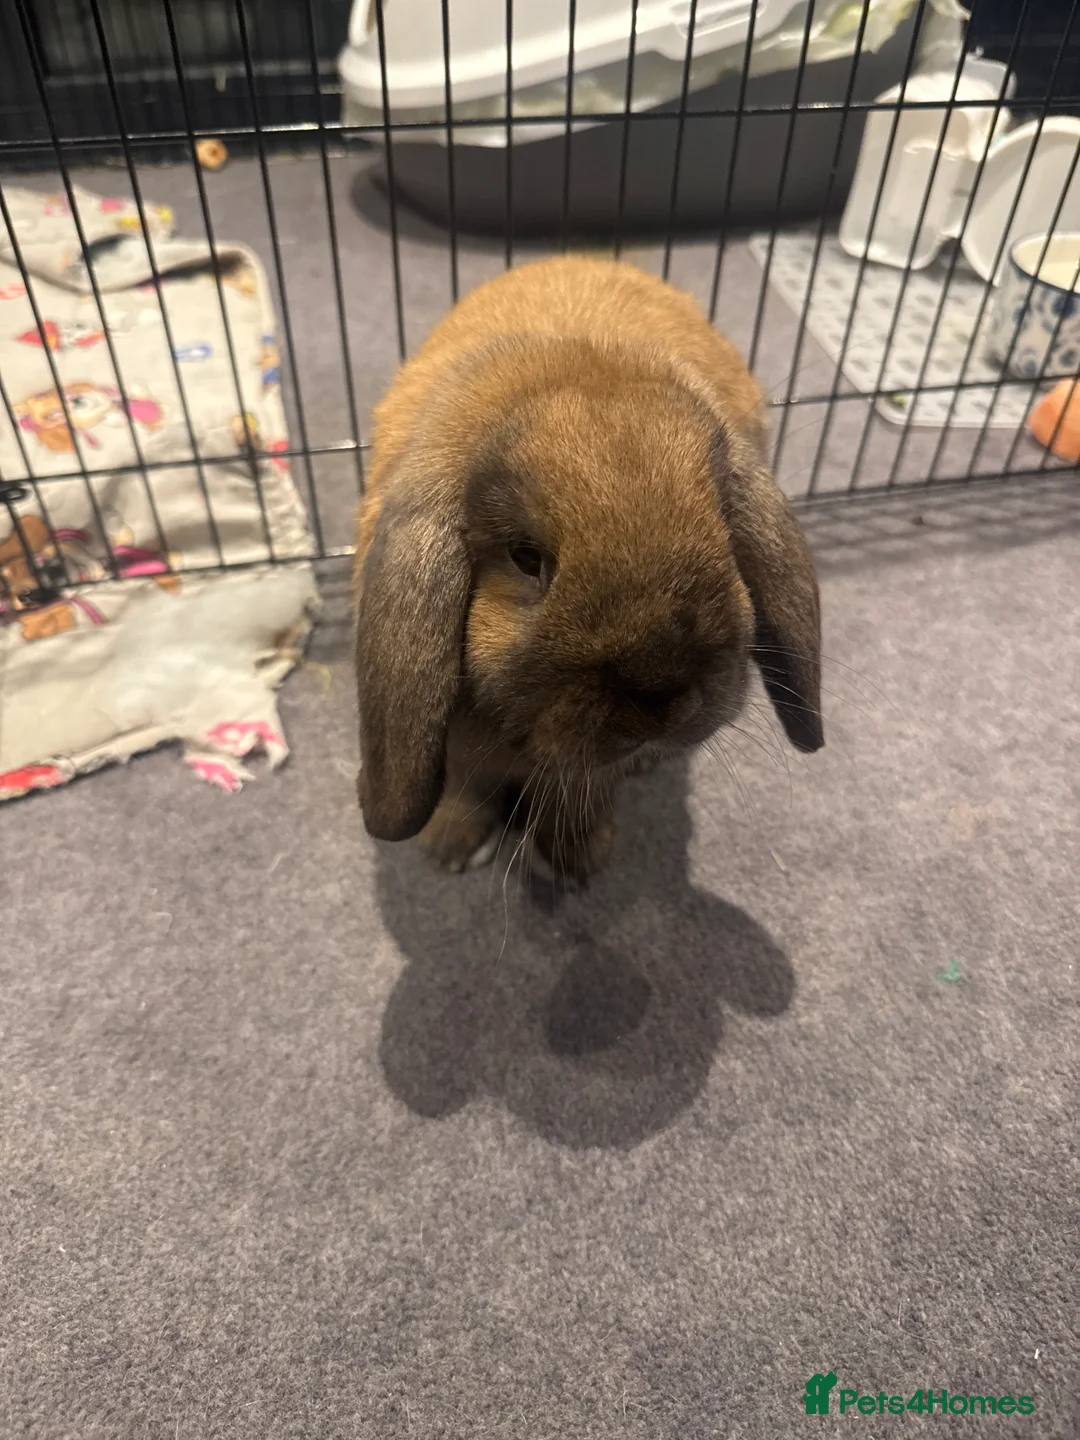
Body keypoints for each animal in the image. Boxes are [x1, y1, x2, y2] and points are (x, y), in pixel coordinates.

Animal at [353, 256, 822, 881]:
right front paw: (448, 848)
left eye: (724, 528)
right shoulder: (460, 753)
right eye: (526, 557)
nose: (662, 690)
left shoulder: (585, 773)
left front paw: (578, 861)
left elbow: (579, 793)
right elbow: (465, 789)